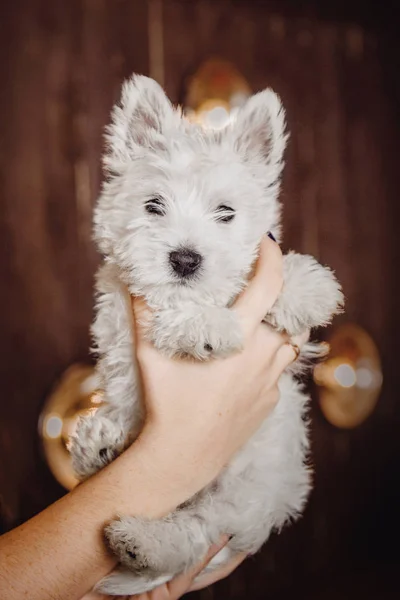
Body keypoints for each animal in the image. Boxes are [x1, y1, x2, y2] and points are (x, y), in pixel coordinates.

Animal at [69, 75, 344, 596]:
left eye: (226, 212)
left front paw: (307, 287)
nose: (185, 259)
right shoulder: (119, 310)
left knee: (194, 531)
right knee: (184, 534)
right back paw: (103, 458)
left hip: (242, 495)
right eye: (153, 205)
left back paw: (139, 536)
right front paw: (202, 325)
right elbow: (160, 305)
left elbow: (267, 270)